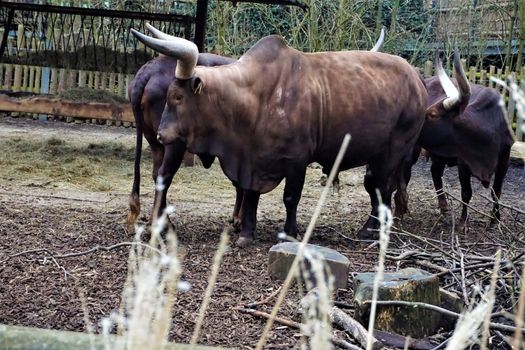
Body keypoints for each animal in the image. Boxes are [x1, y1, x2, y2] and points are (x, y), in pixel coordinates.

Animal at [131, 28, 426, 246]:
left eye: (178, 97)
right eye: (170, 95)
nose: (162, 134)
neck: (256, 97)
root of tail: (416, 78)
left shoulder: (296, 159)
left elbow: (290, 197)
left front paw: (290, 232)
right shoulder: (251, 159)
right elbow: (250, 193)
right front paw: (246, 233)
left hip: (394, 149)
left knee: (382, 188)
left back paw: (371, 231)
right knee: (375, 186)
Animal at [398, 50, 512, 230]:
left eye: (432, 115)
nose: (410, 120)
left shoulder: (504, 161)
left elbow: (497, 191)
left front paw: (495, 219)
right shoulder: (463, 162)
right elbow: (466, 193)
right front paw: (463, 222)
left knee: (435, 172)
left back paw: (443, 206)